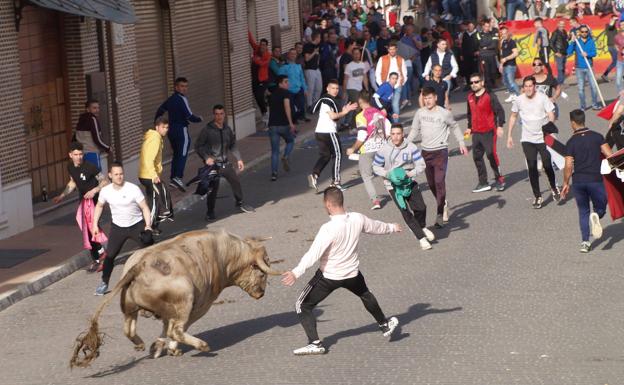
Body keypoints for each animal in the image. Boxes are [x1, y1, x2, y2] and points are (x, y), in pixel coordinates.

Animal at [69, 228, 282, 366]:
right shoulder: (200, 304)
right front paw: (168, 347)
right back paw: (202, 345)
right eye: (262, 273)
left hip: (129, 307)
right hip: (185, 298)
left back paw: (141, 344)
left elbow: (165, 327)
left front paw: (159, 347)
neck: (226, 253)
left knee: (129, 329)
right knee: (177, 330)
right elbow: (175, 328)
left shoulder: (168, 311)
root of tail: (140, 265)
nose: (261, 294)